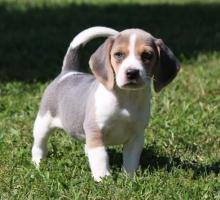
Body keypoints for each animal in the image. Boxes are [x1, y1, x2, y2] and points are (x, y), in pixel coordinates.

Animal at [32, 26, 180, 181]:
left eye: (147, 55)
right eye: (119, 55)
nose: (132, 72)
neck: (126, 98)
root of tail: (68, 72)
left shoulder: (136, 137)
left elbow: (131, 160)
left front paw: (129, 178)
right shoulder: (96, 131)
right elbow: (100, 157)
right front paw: (104, 179)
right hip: (43, 123)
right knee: (39, 144)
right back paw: (38, 162)